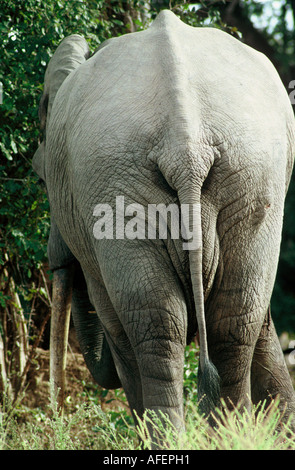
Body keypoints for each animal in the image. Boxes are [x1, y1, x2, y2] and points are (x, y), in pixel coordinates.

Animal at [32, 9, 295, 438]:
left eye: (42, 180)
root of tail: (185, 145)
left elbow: (113, 320)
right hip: (249, 177)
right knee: (232, 320)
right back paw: (227, 436)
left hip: (121, 186)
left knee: (154, 325)